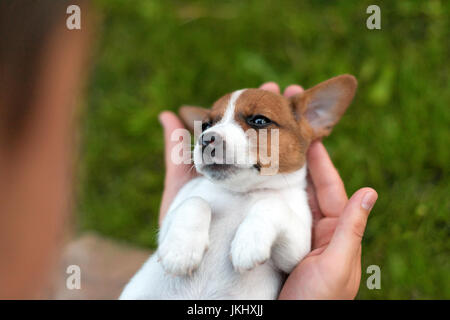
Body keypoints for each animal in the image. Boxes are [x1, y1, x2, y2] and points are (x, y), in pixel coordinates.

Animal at [120, 74, 358, 298]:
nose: (206, 139)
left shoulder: (296, 253)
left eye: (260, 120)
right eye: (206, 125)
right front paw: (181, 251)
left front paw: (249, 241)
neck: (243, 193)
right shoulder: (165, 227)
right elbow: (196, 201)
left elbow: (271, 205)